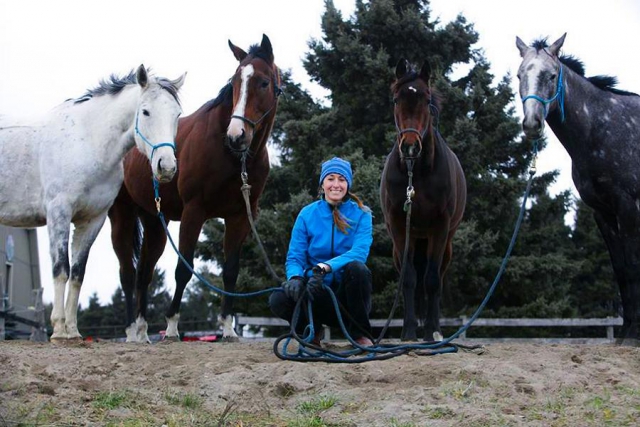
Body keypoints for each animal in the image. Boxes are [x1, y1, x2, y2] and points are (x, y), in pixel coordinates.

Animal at [0, 66, 185, 342]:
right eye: (145, 111)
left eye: (177, 115)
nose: (167, 167)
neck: (86, 142)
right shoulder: (59, 213)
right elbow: (61, 269)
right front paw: (58, 330)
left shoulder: (92, 220)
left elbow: (78, 273)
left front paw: (73, 331)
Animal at [109, 34, 282, 344]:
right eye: (235, 82)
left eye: (263, 82)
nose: (236, 136)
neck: (231, 156)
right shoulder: (194, 212)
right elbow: (183, 269)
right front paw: (172, 327)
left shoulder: (239, 217)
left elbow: (231, 271)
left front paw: (227, 328)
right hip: (122, 216)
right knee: (127, 273)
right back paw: (131, 332)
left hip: (155, 222)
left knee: (144, 273)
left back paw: (142, 331)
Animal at [380, 59, 464, 342]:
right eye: (396, 99)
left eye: (426, 99)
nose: (410, 147)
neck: (415, 172)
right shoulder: (398, 226)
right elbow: (409, 278)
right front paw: (408, 332)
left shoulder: (439, 227)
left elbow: (431, 279)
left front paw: (431, 332)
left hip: (443, 244)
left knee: (434, 275)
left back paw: (432, 329)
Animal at [516, 34, 640, 348]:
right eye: (520, 75)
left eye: (551, 75)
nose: (531, 124)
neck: (602, 127)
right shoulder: (602, 213)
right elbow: (621, 272)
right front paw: (625, 333)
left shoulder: (628, 208)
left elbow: (633, 266)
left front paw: (634, 336)